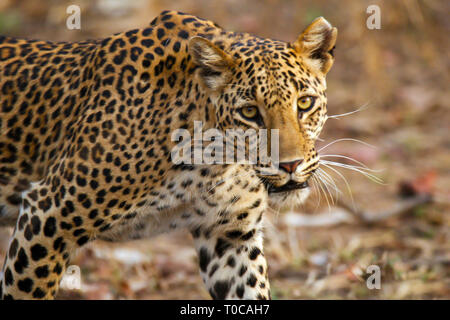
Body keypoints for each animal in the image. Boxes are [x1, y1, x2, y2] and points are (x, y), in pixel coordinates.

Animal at [0, 10, 338, 300]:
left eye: (305, 103)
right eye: (250, 112)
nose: (291, 165)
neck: (214, 161)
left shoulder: (230, 238)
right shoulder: (48, 216)